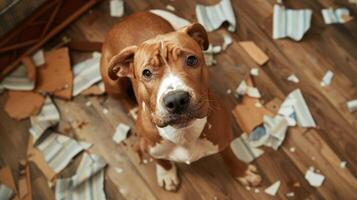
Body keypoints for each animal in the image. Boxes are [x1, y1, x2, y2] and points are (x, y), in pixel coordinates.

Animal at [100, 11, 262, 191]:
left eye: (191, 60)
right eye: (146, 73)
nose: (176, 100)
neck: (183, 133)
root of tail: (125, 20)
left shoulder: (222, 137)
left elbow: (229, 155)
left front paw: (242, 172)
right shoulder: (147, 144)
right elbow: (160, 160)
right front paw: (167, 173)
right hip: (112, 83)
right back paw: (134, 110)